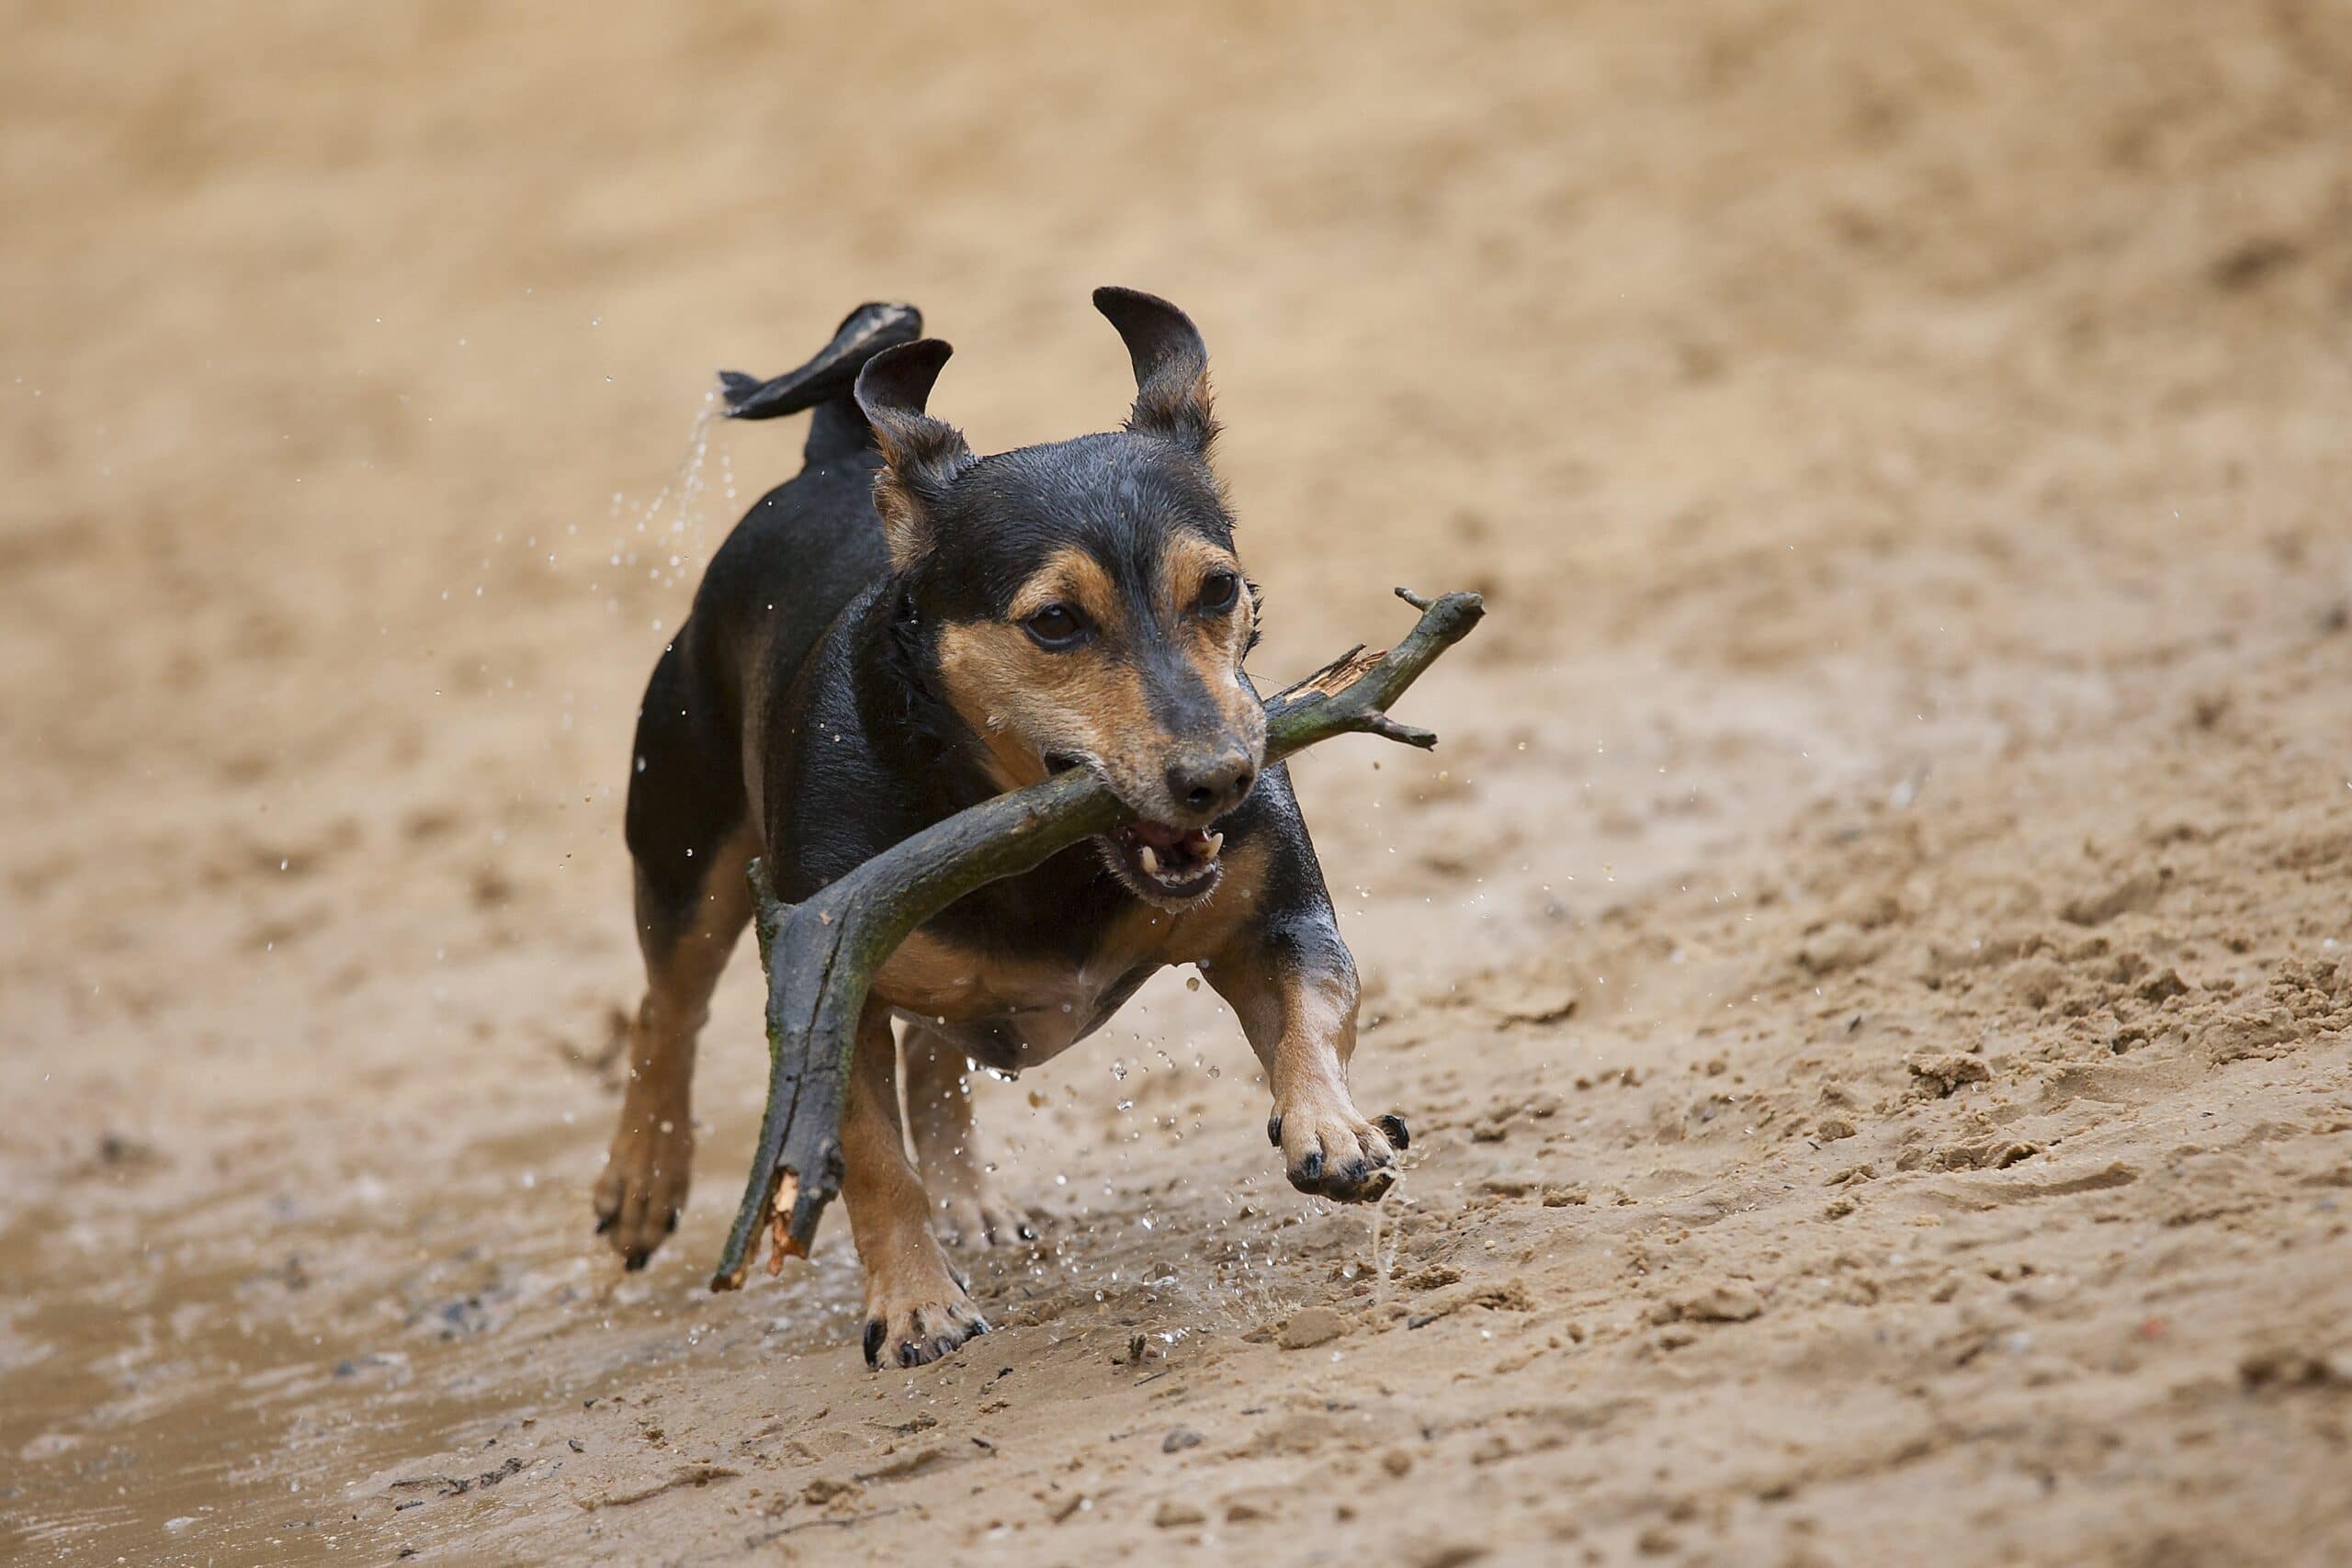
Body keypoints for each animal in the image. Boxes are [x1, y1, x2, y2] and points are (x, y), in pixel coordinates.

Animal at [597, 288, 1401, 1363]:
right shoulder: (830, 982)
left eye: (1219, 588)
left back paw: (971, 1202)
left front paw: (1333, 1128)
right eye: (1054, 621)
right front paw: (915, 1306)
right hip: (687, 847)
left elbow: (1318, 1007)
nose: (1223, 779)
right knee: (667, 1009)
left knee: (935, 1055)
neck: (1038, 848)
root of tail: (836, 458)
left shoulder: (1277, 919)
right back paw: (642, 1184)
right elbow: (871, 1160)